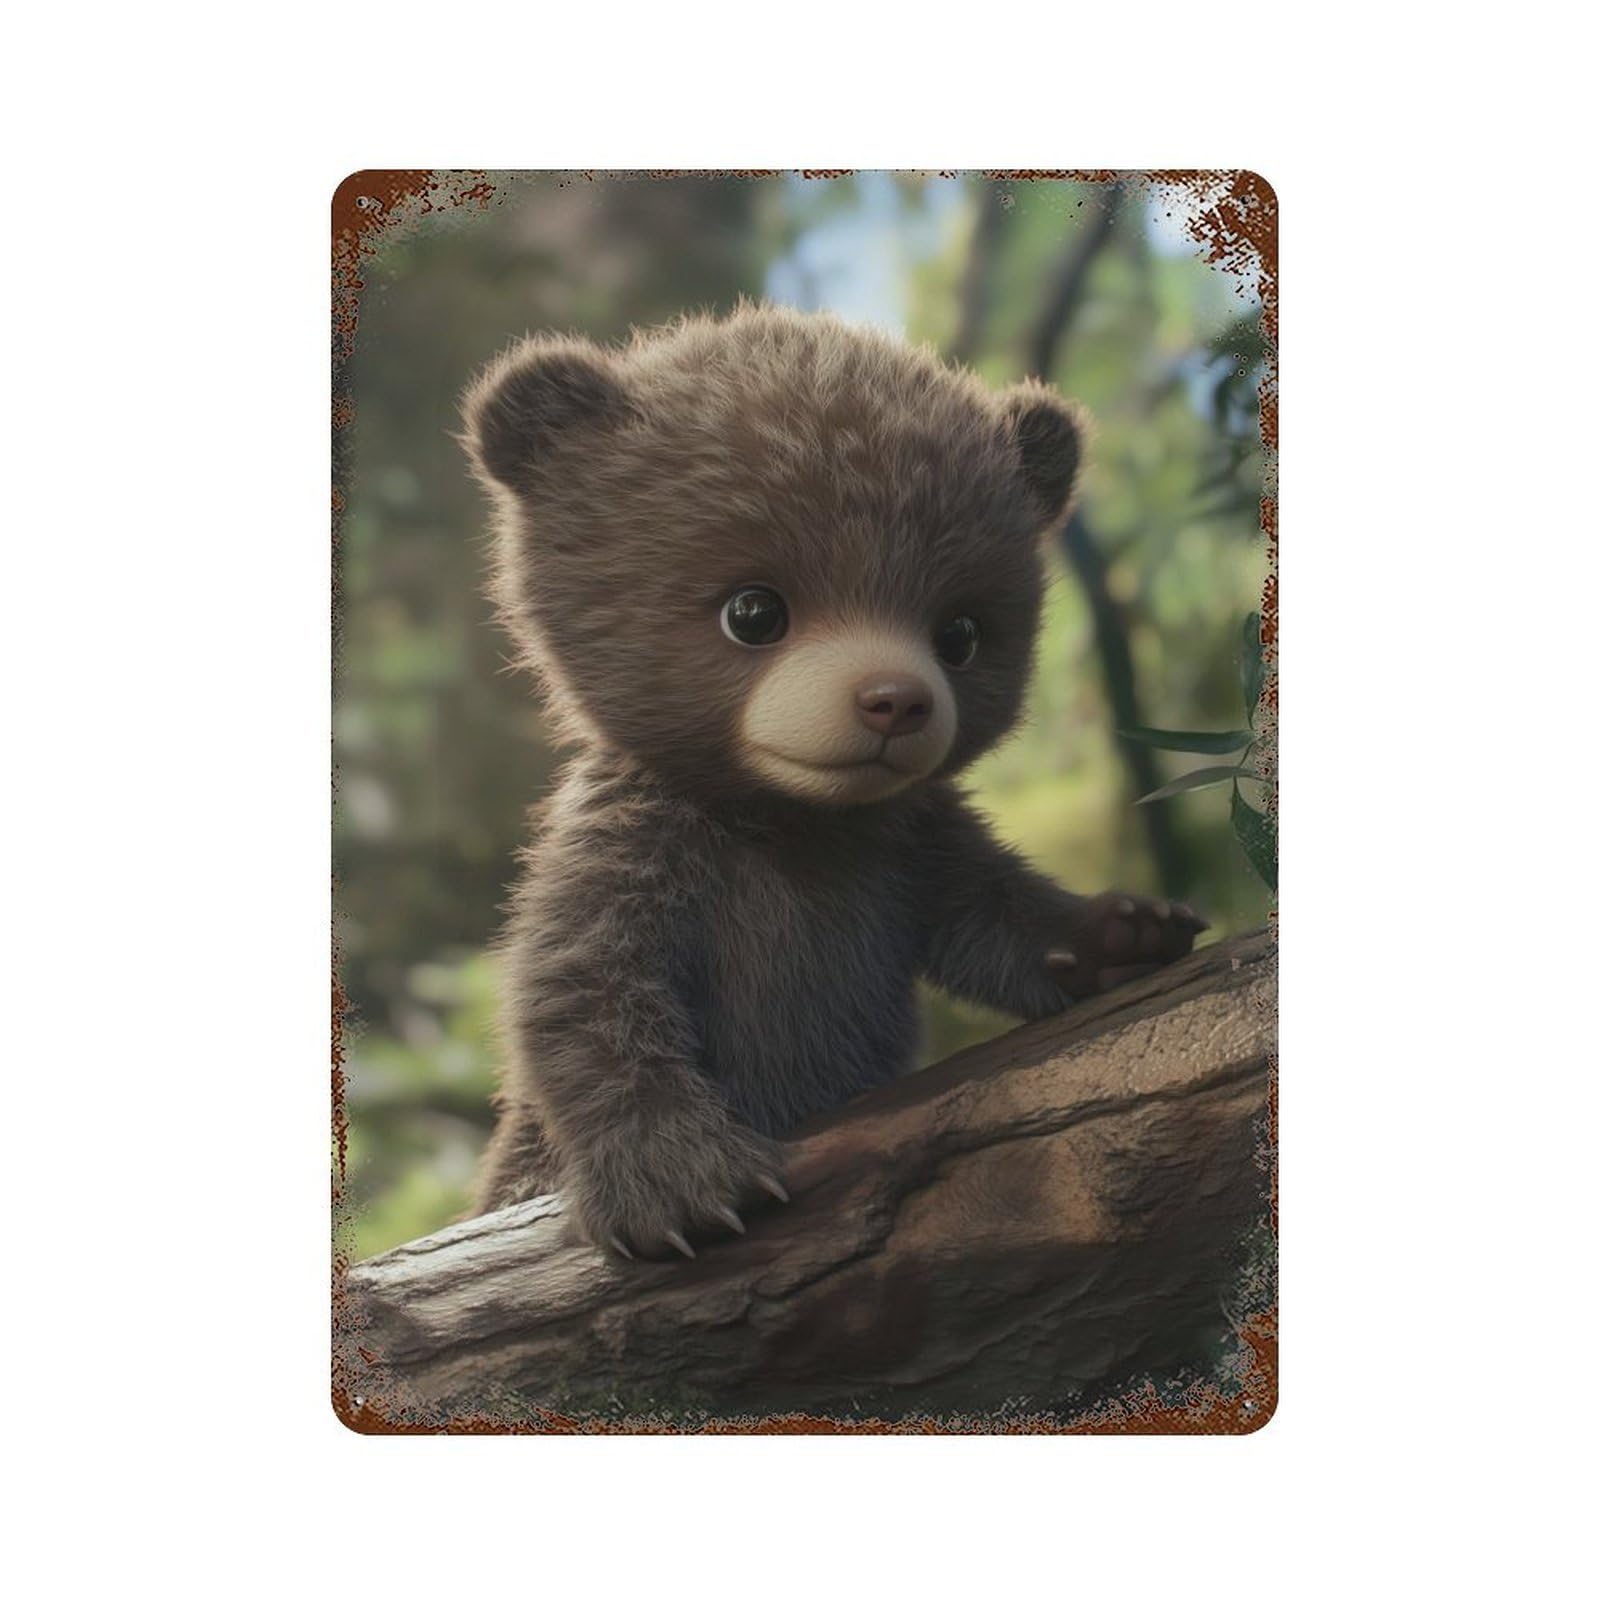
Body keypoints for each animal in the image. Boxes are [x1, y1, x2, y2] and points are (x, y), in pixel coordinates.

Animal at [460, 303, 1203, 1260]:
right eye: (753, 612)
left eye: (959, 633)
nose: (895, 702)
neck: (797, 818)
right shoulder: (640, 835)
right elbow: (580, 988)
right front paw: (678, 1180)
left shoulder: (907, 841)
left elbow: (993, 914)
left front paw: (1122, 933)